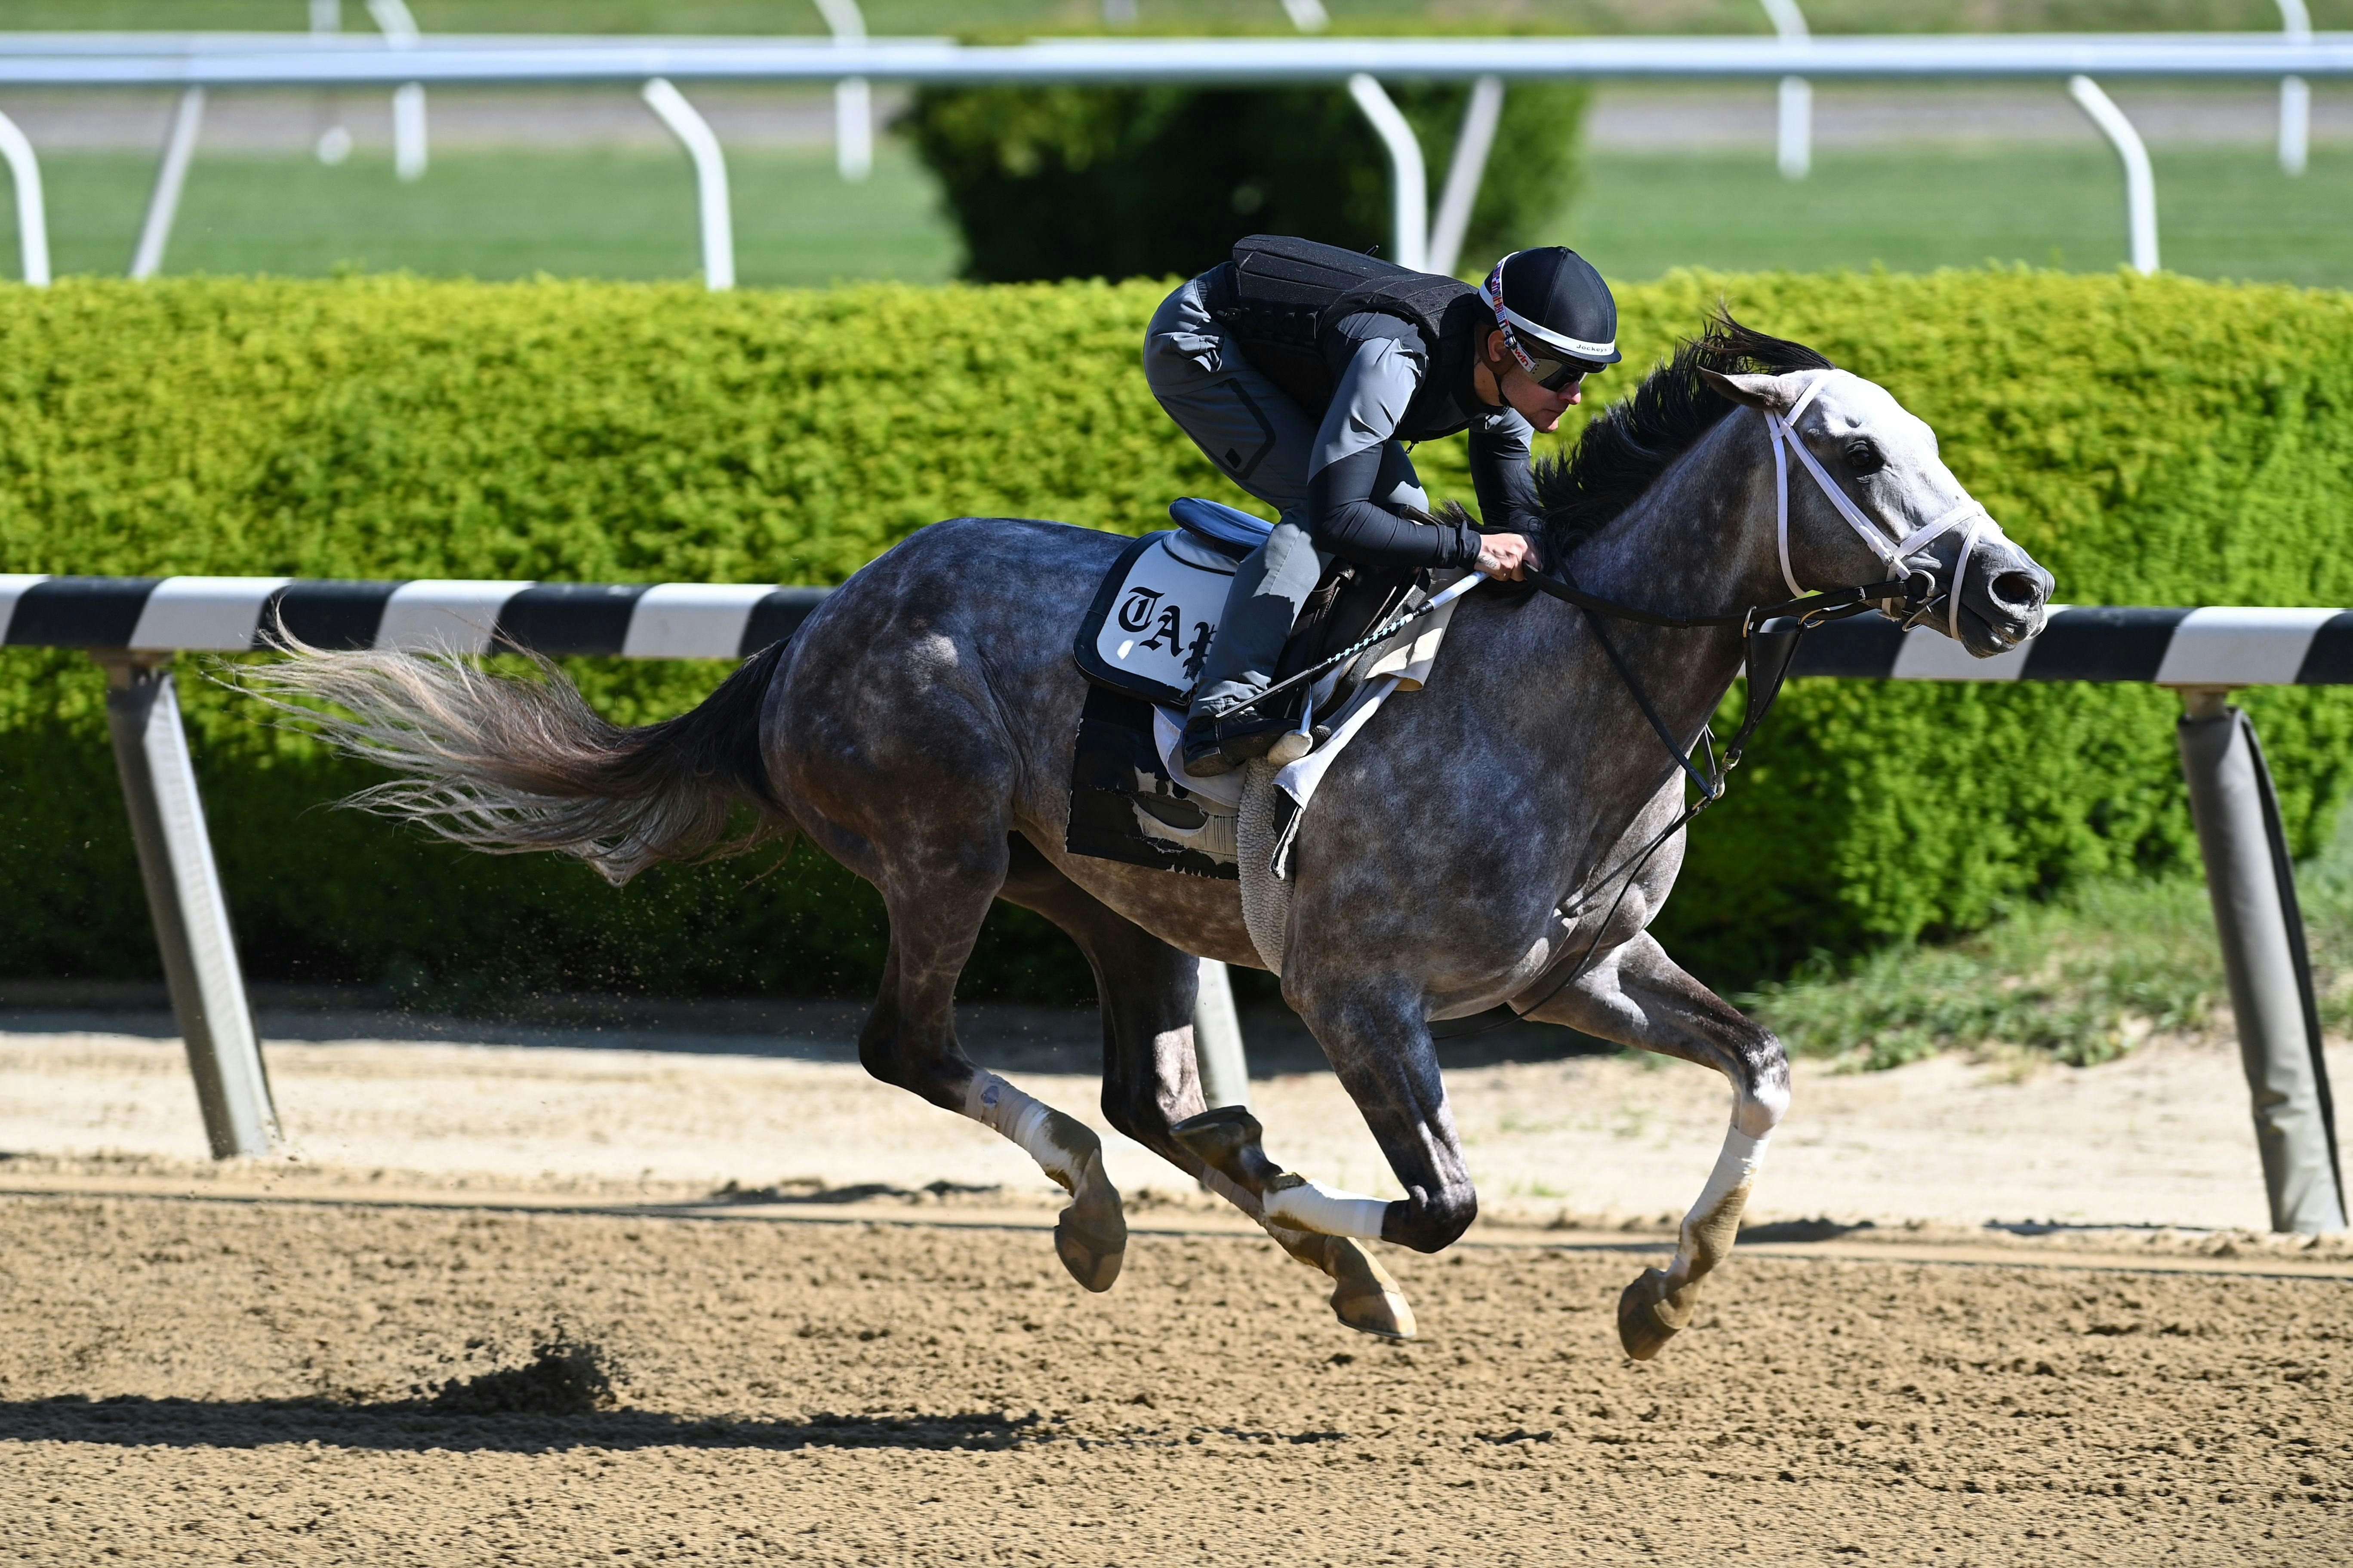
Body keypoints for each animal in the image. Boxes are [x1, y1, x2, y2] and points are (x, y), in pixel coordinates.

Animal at [267, 320, 2051, 1363]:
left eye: (1929, 437)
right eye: (1858, 450)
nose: (2018, 590)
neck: (1543, 692)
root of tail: (820, 623)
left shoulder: (1582, 972)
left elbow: (1765, 1066)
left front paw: (1663, 1292)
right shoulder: (1354, 990)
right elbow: (1435, 1203)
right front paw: (1345, 1239)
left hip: (1107, 895)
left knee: (1136, 1087)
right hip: (942, 857)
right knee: (916, 1046)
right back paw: (1099, 1215)